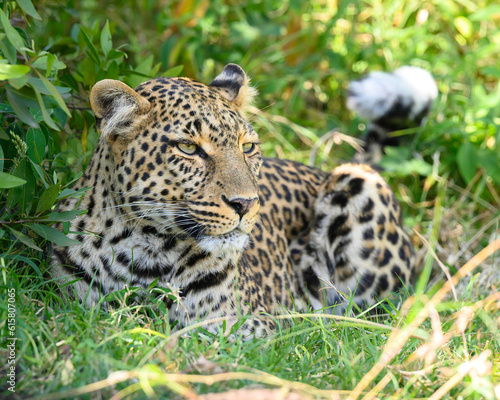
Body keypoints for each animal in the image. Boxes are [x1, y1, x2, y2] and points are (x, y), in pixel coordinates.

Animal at [49, 63, 430, 338]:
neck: (147, 252)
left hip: (357, 185)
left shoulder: (250, 327)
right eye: (188, 148)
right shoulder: (73, 302)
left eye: (247, 147)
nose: (245, 203)